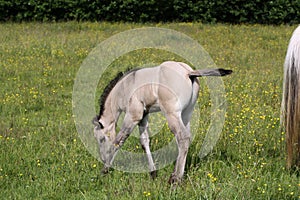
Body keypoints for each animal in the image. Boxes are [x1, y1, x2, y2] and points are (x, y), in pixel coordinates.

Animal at [93, 60, 232, 183]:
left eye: (101, 139)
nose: (102, 158)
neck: (124, 87)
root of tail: (188, 72)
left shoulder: (133, 115)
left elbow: (119, 140)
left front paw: (104, 170)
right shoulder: (144, 116)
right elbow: (144, 142)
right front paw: (153, 173)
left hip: (171, 114)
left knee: (182, 137)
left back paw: (175, 179)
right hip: (186, 113)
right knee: (186, 137)